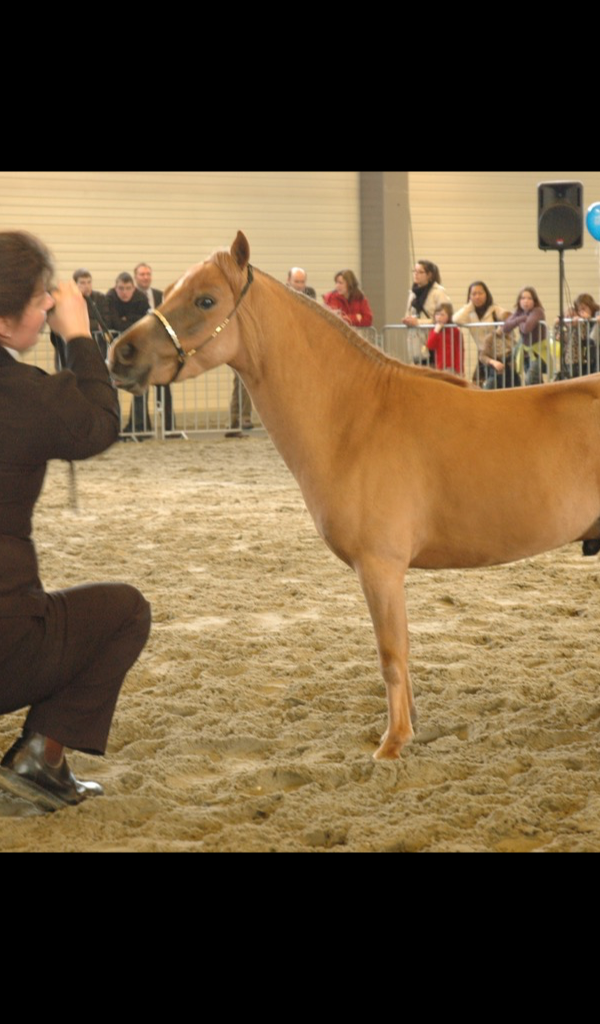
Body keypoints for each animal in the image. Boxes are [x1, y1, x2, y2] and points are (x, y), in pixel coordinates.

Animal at [109, 232, 600, 761]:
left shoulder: (380, 568)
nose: (120, 354)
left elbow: (391, 653)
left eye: (205, 300)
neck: (357, 415)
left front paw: (392, 743)